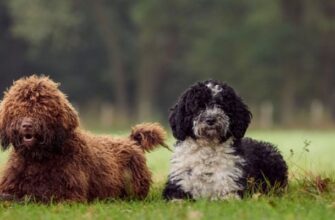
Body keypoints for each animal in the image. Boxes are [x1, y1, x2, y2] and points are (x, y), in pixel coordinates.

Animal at [0, 75, 167, 203]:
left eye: (43, 107)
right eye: (17, 108)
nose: (27, 125)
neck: (38, 159)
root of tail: (131, 141)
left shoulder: (69, 194)